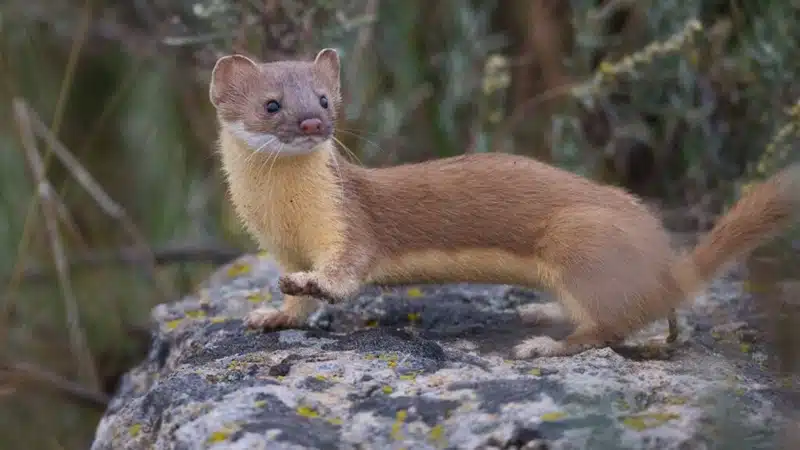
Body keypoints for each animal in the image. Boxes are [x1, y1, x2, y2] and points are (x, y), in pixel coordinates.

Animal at [208, 49, 800, 358]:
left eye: (327, 98)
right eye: (271, 104)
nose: (313, 123)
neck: (285, 217)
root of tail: (664, 263)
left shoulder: (347, 224)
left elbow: (344, 272)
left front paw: (312, 284)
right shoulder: (283, 247)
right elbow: (295, 307)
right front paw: (271, 315)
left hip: (579, 237)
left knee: (608, 328)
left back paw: (544, 344)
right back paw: (543, 310)